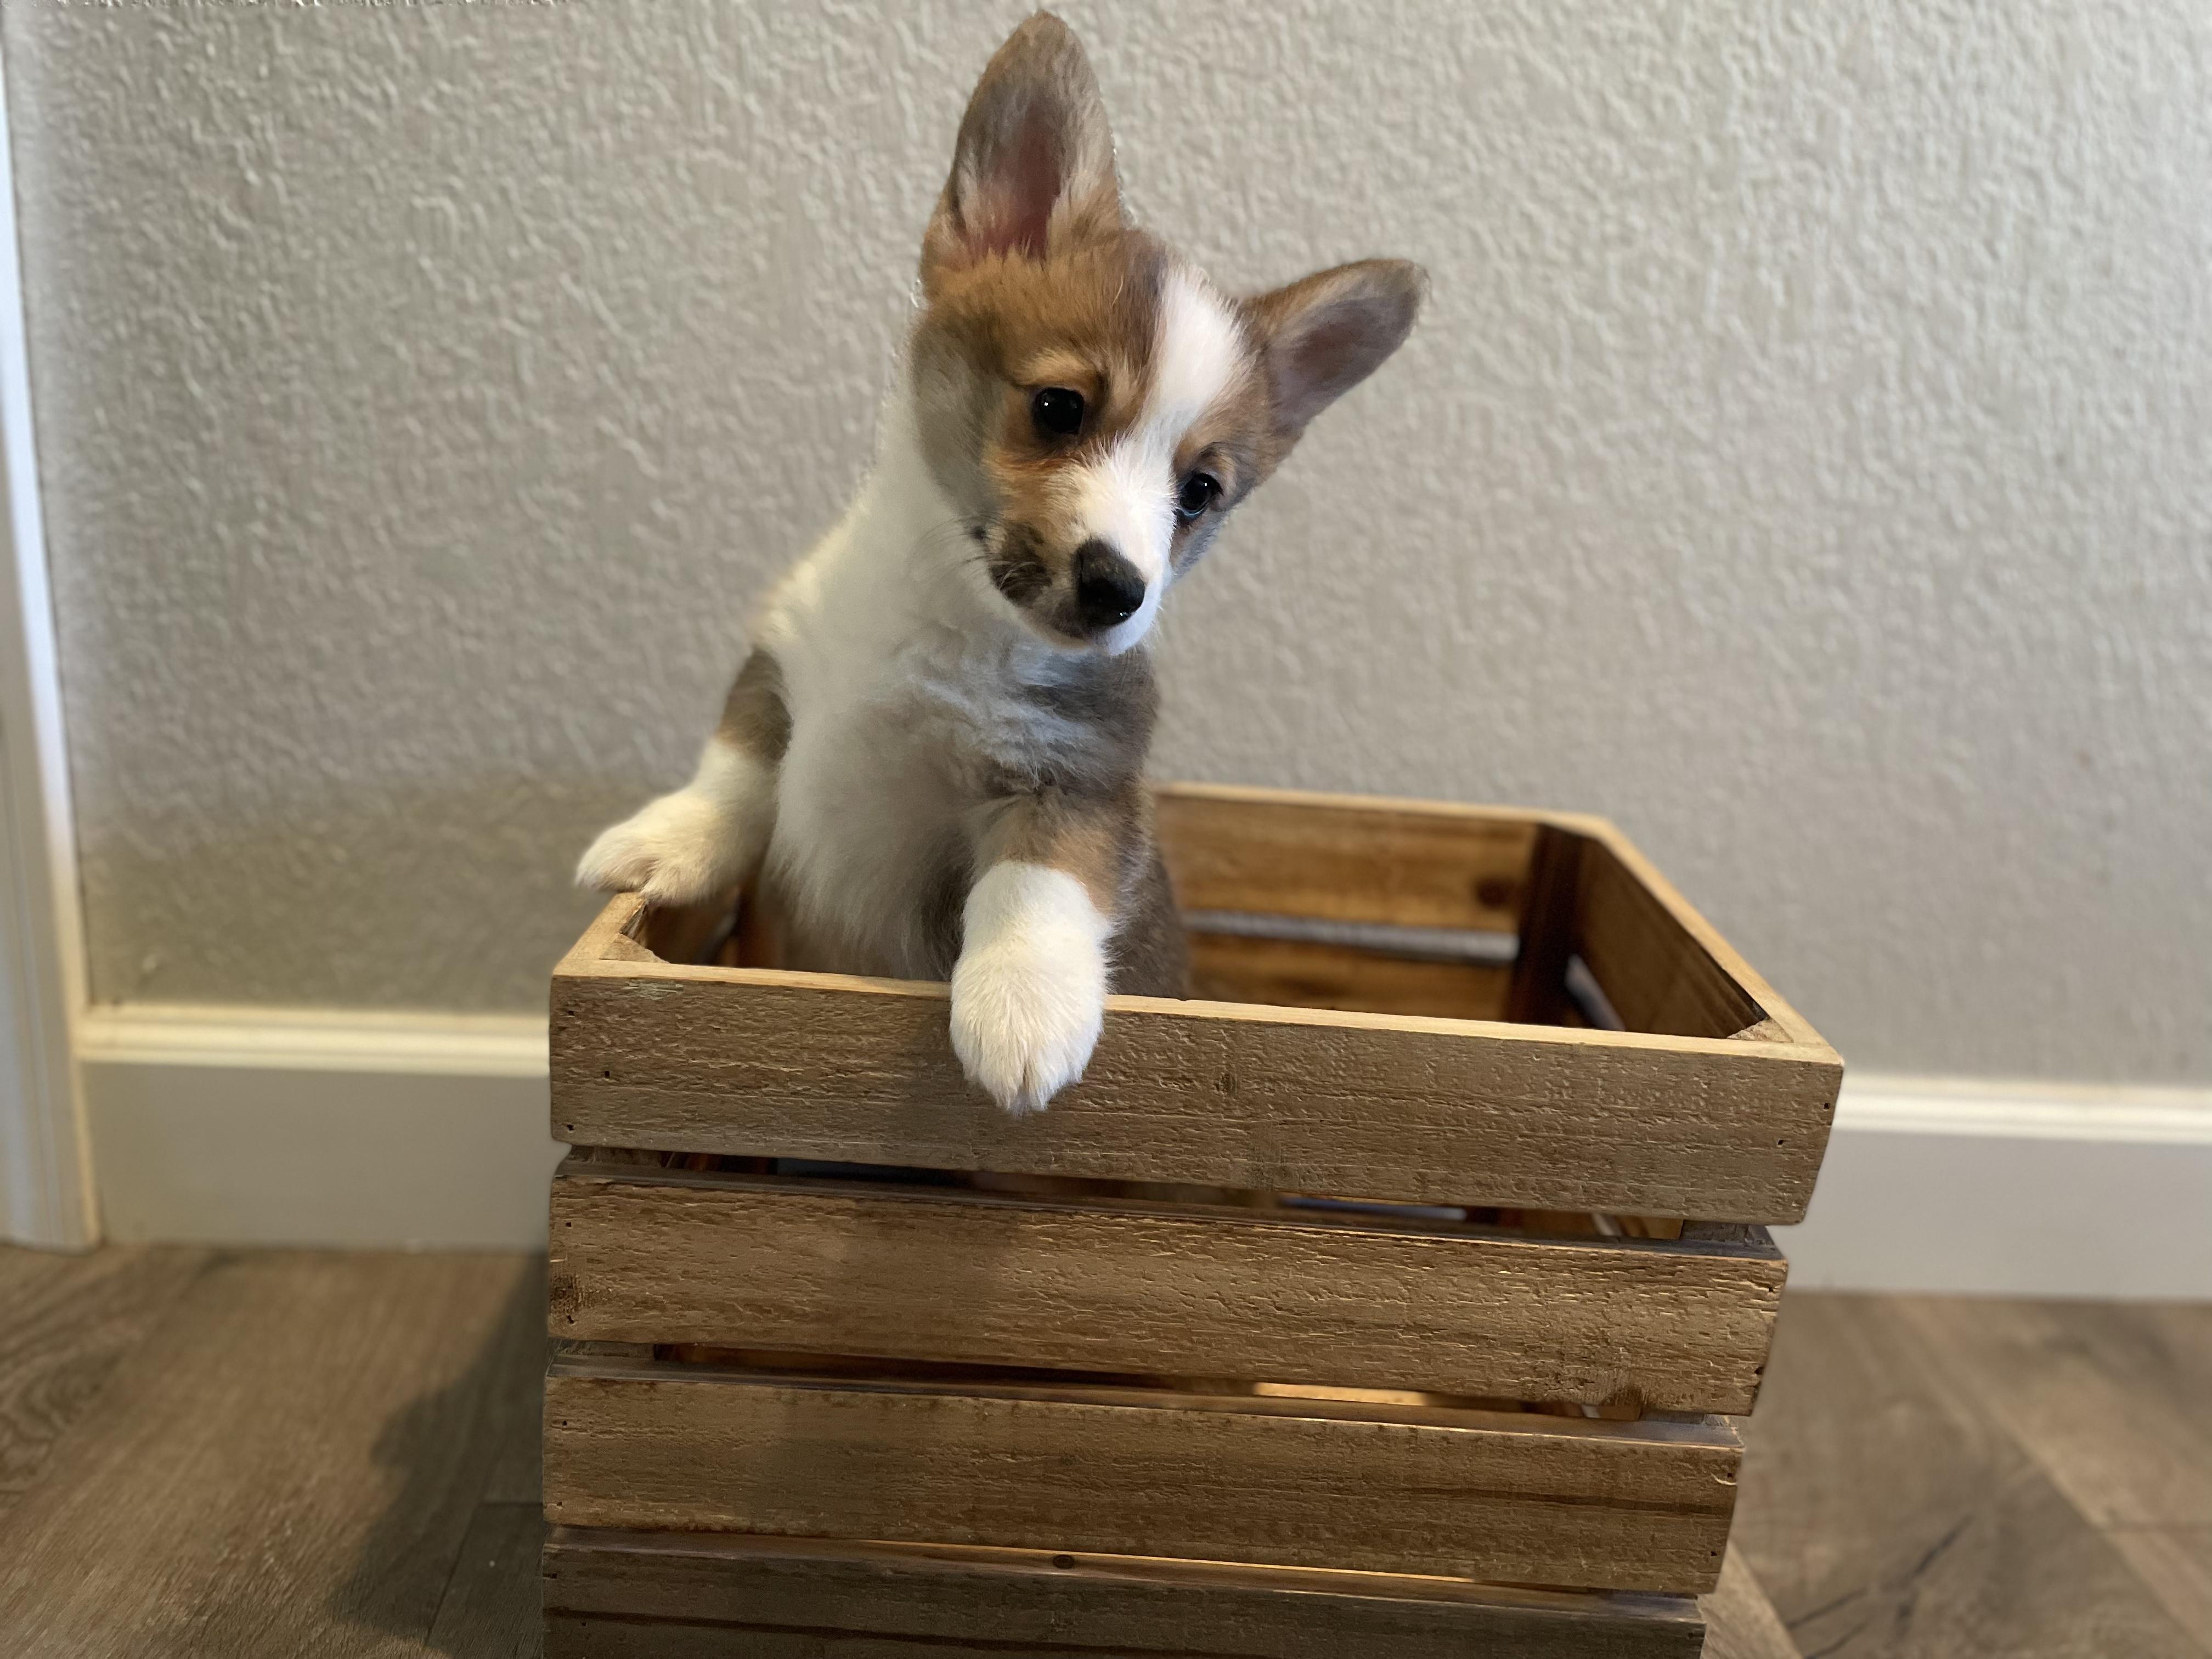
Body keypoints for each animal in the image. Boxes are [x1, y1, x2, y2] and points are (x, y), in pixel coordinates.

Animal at [578, 12, 1422, 1113]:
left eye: (1199, 491)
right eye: (1059, 407)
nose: (1118, 590)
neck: (946, 624)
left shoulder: (1075, 780)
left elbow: (1031, 888)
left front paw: (1024, 1013)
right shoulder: (782, 663)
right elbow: (735, 766)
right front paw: (661, 840)